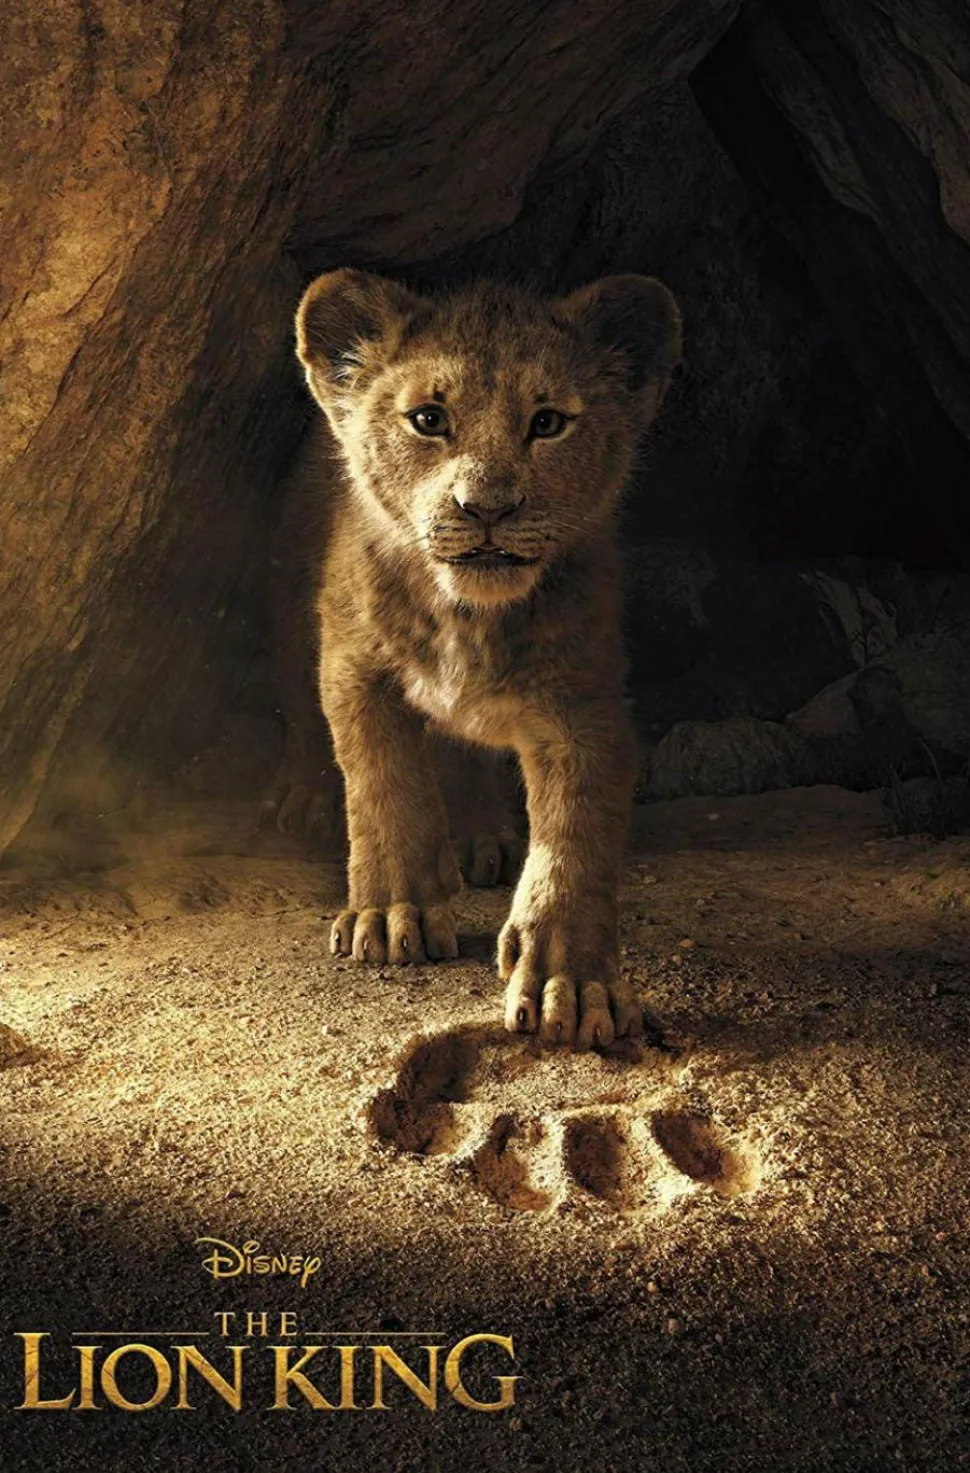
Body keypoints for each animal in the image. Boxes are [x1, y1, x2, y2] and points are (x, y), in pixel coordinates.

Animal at [273, 268, 681, 1049]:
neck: (468, 615)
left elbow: (575, 836)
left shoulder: (583, 703)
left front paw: (569, 982)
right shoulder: (354, 667)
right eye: (429, 419)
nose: (486, 507)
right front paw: (391, 914)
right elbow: (383, 785)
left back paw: (477, 835)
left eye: (547, 423)